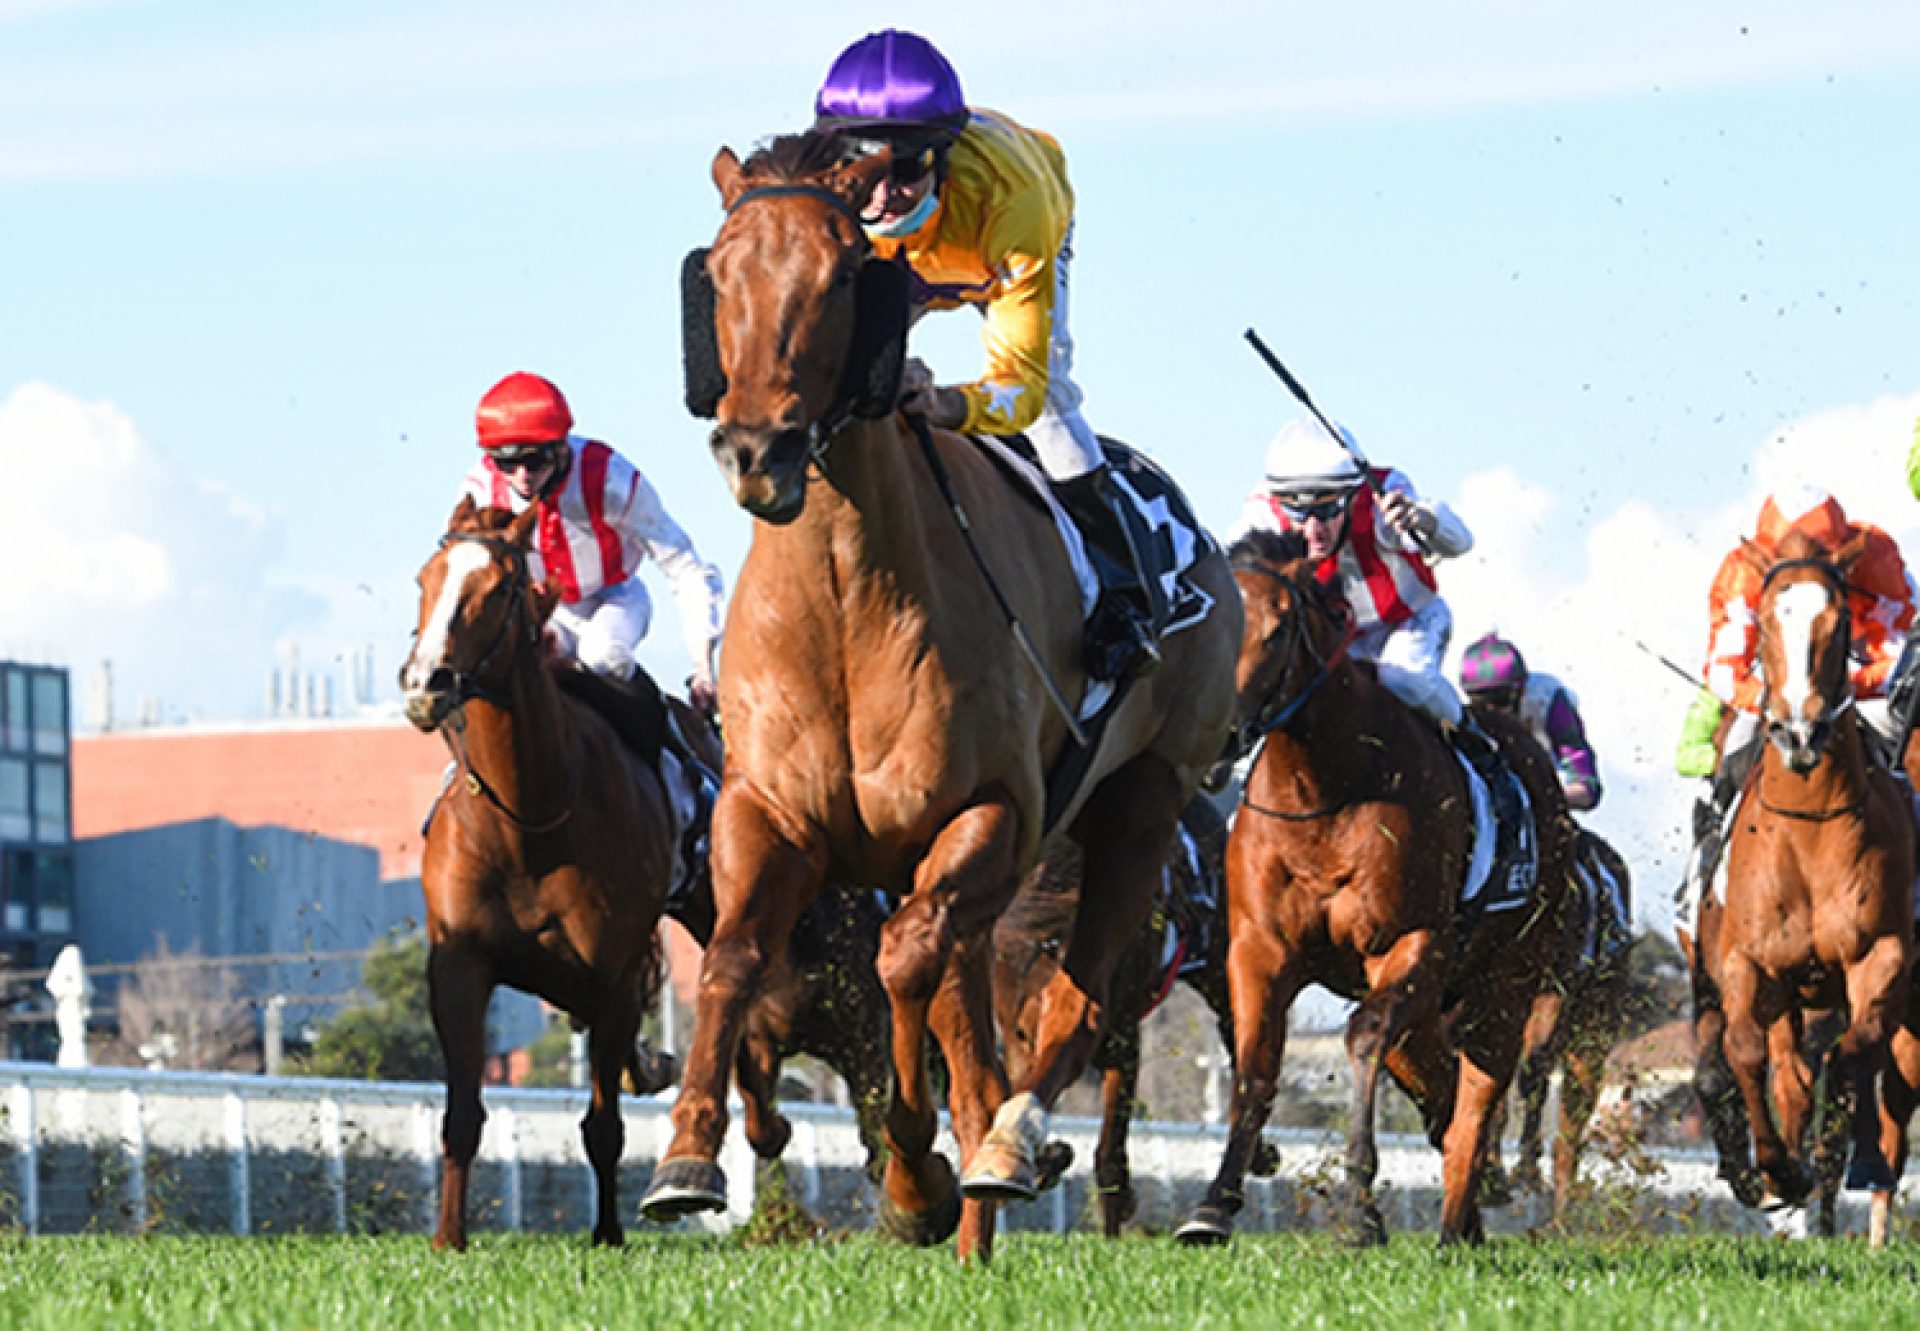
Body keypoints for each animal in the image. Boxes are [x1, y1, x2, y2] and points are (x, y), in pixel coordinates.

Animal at [401, 499, 679, 1244]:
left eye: (499, 590)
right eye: (425, 578)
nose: (426, 683)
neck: (531, 818)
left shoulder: (612, 977)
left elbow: (605, 1125)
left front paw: (608, 1235)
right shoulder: (459, 963)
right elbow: (462, 1115)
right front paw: (448, 1238)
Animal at [641, 132, 1244, 1259]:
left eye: (845, 276)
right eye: (723, 274)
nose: (759, 451)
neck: (845, 602)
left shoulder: (988, 815)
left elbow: (905, 966)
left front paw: (917, 1177)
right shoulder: (766, 813)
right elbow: (736, 958)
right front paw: (687, 1158)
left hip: (1138, 806)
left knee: (1069, 1003)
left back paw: (1009, 1145)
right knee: (978, 1025)